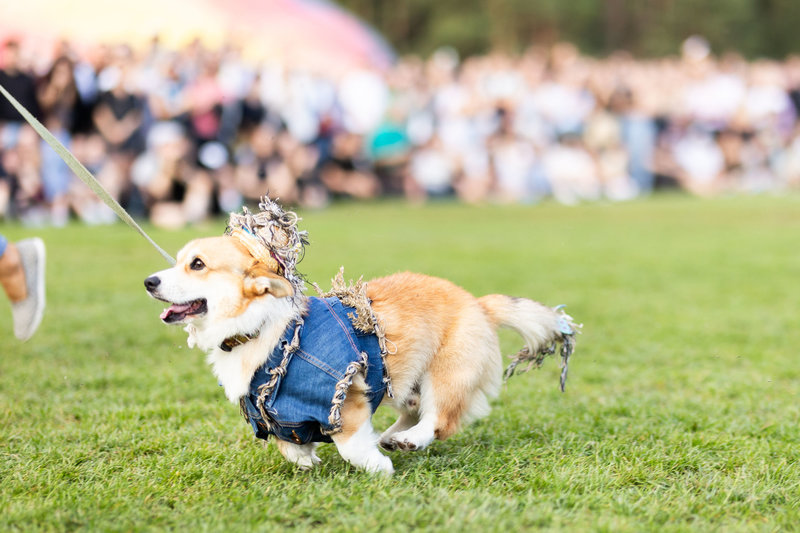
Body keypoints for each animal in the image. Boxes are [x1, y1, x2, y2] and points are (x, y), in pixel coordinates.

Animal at [144, 202, 580, 472]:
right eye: (178, 262)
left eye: (197, 265)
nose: (149, 281)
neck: (261, 330)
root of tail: (479, 303)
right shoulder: (277, 414)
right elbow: (291, 445)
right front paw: (307, 459)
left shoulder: (343, 395)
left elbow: (350, 443)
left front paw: (376, 467)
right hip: (401, 379)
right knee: (413, 410)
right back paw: (391, 437)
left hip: (447, 371)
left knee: (439, 418)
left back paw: (406, 442)